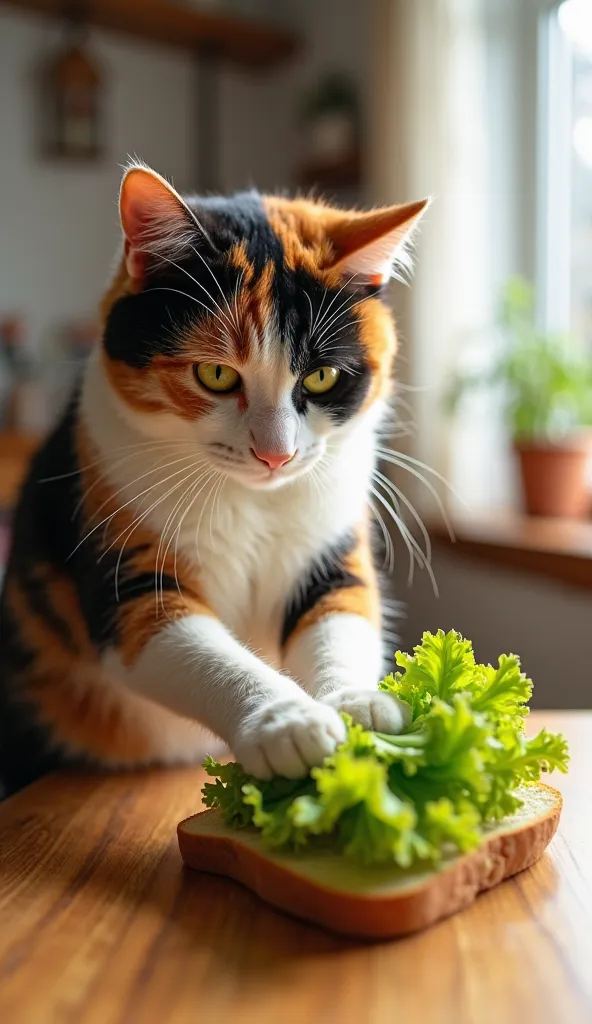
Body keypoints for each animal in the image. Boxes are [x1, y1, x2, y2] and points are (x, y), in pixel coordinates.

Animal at [0, 163, 424, 794]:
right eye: (216, 374)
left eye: (321, 377)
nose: (276, 455)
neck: (251, 502)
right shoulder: (127, 561)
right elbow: (200, 654)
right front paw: (288, 722)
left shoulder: (331, 550)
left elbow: (342, 618)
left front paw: (359, 706)